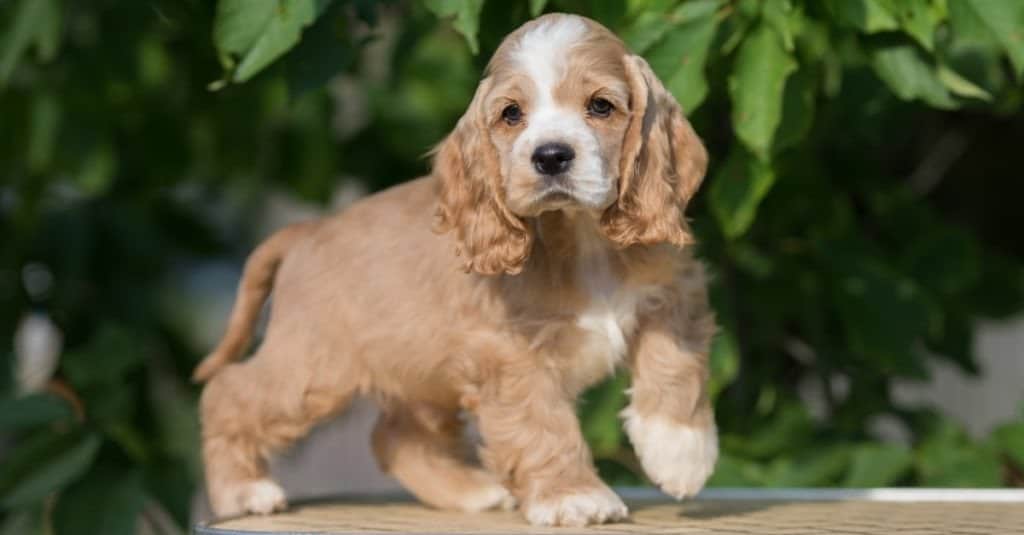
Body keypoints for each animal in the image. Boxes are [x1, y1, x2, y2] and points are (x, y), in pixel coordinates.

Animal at [195, 11, 716, 524]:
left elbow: (675, 357)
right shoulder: (509, 352)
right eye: (511, 114)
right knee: (228, 392)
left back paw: (471, 491)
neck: (581, 238)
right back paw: (242, 491)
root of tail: (306, 231)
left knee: (396, 436)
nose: (550, 156)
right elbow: (541, 422)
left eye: (601, 106)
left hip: (420, 369)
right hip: (312, 367)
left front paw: (678, 449)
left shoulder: (677, 286)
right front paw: (572, 496)